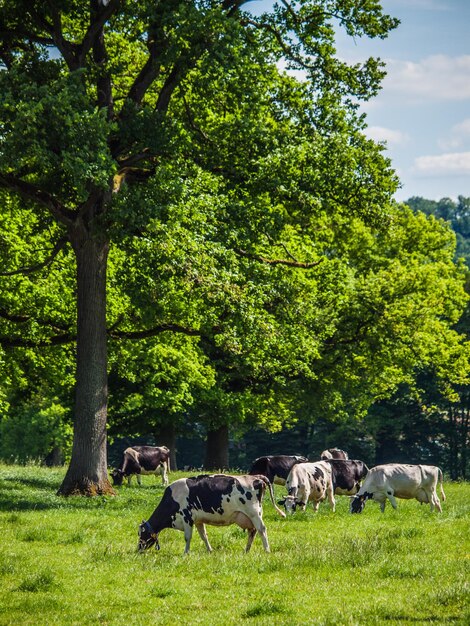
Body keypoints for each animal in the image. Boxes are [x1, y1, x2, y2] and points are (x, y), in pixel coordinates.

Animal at [137, 470, 286, 552]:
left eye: (141, 533)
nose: (138, 549)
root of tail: (257, 477)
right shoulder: (198, 520)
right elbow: (204, 536)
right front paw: (210, 550)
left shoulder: (187, 517)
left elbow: (187, 537)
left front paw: (186, 553)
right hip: (247, 516)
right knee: (253, 531)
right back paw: (247, 550)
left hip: (254, 513)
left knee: (262, 529)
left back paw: (267, 550)